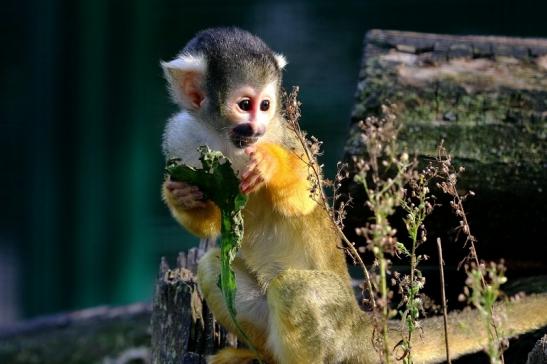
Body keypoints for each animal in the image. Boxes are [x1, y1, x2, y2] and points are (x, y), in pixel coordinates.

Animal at [161, 27, 544, 362]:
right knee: (213, 265)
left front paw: (270, 164)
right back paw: (259, 357)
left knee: (295, 289)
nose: (255, 128)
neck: (226, 142)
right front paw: (182, 195)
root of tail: (362, 324)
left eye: (265, 105)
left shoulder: (283, 133)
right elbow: (211, 223)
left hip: (336, 328)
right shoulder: (182, 138)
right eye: (244, 104)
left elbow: (302, 198)